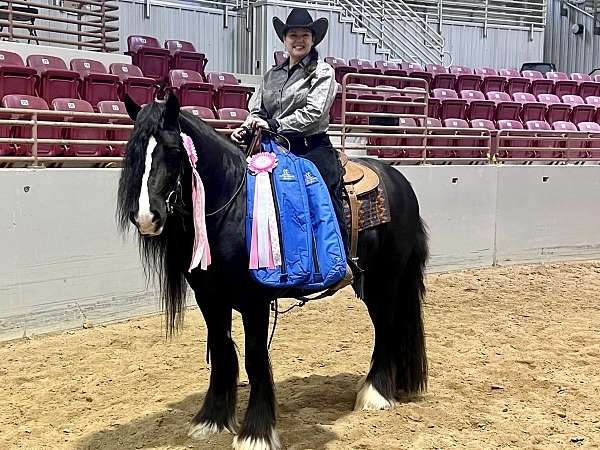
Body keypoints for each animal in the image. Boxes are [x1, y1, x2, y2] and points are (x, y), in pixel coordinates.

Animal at [116, 93, 426, 448]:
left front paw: (256, 433)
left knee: (386, 327)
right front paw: (212, 419)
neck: (233, 208)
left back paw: (375, 395)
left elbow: (254, 357)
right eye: (133, 152)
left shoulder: (255, 301)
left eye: (172, 150)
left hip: (385, 279)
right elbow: (221, 349)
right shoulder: (210, 297)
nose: (145, 217)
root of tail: (400, 181)